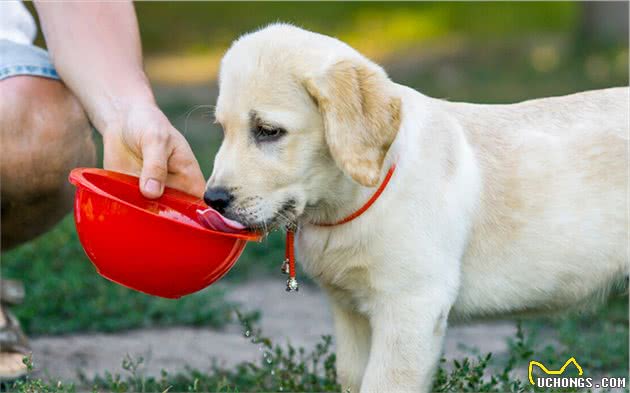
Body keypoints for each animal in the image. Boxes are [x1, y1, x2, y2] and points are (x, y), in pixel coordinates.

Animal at [205, 24, 628, 392]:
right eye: (222, 129)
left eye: (268, 131)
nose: (213, 199)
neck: (352, 201)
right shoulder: (350, 312)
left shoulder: (411, 307)